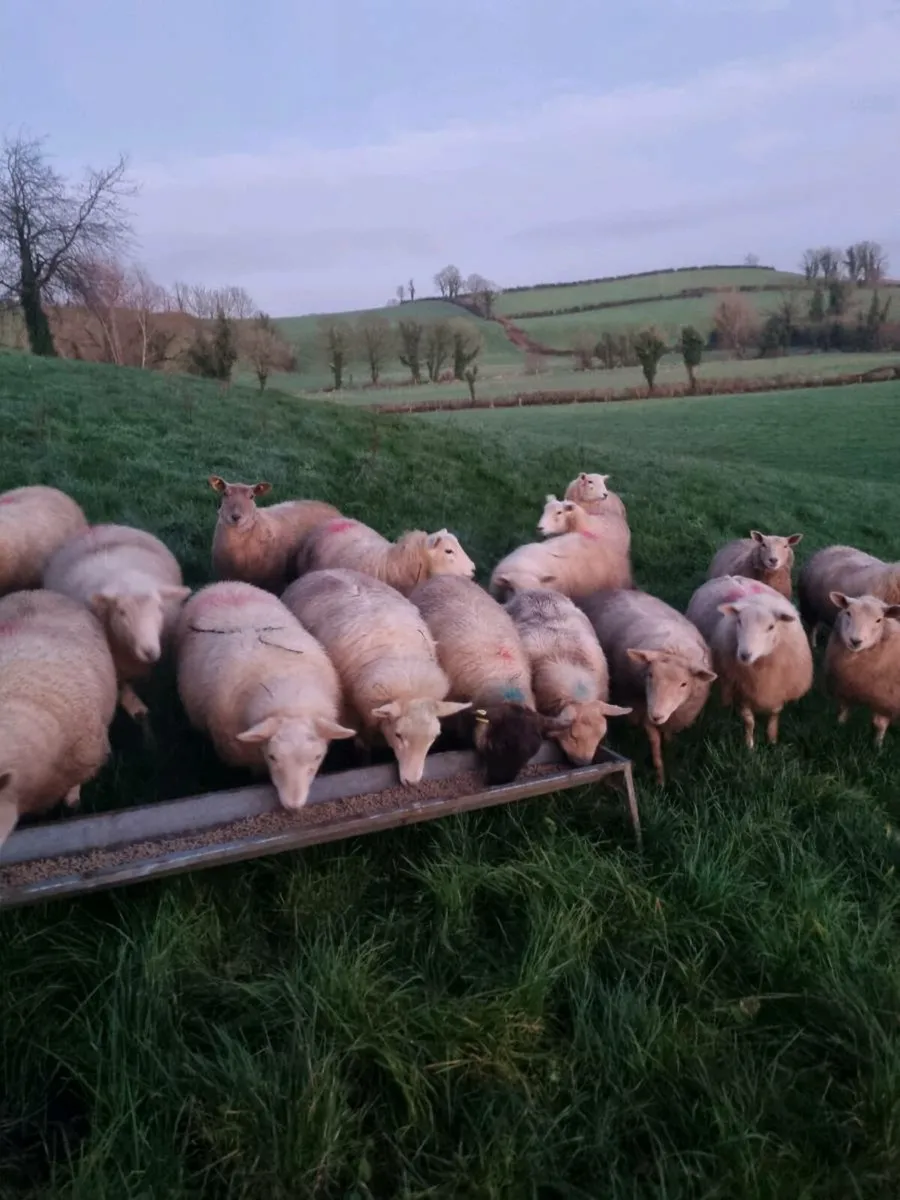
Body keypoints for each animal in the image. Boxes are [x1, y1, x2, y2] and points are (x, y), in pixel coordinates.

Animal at [281, 568, 471, 784]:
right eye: (398, 735)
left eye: (434, 736)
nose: (412, 781)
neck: (404, 672)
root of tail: (320, 571)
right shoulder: (357, 713)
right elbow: (364, 745)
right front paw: (365, 763)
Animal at [578, 588, 716, 785]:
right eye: (650, 675)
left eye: (684, 684)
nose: (656, 715)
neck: (674, 648)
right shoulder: (643, 708)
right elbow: (655, 743)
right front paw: (660, 779)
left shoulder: (673, 716)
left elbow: (668, 736)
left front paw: (670, 751)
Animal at [685, 574, 813, 748]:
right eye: (739, 621)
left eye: (771, 626)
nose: (745, 655)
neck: (760, 666)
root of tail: (731, 577)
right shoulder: (740, 689)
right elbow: (749, 720)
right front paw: (749, 746)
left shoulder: (779, 689)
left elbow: (774, 714)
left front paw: (772, 739)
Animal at [823, 591, 900, 747]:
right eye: (848, 613)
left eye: (879, 620)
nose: (855, 641)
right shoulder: (845, 688)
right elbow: (843, 711)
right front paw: (838, 728)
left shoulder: (887, 699)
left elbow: (879, 725)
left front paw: (877, 746)